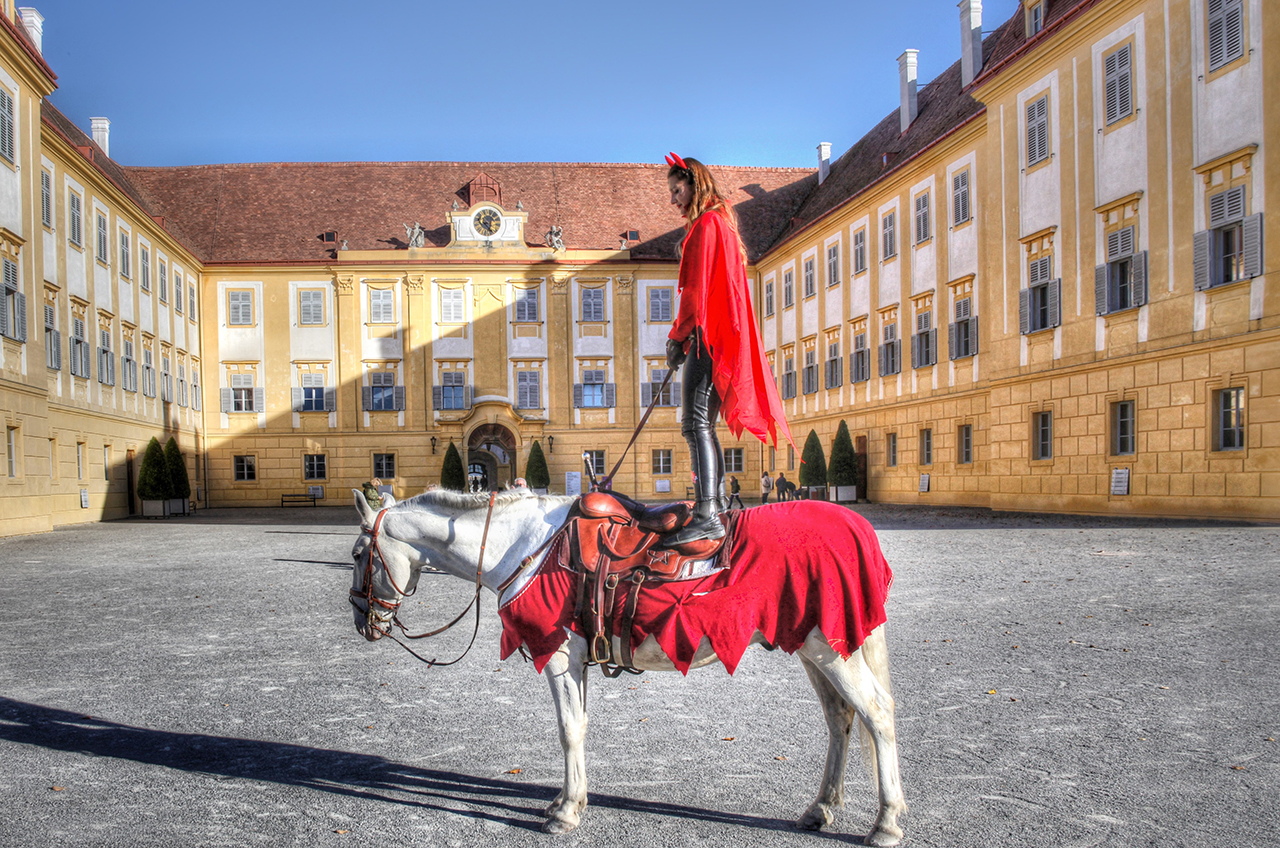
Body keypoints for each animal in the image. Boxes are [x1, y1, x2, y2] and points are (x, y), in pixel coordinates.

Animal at [350, 489, 906, 845]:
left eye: (359, 553)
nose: (362, 620)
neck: (524, 546)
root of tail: (855, 525)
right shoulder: (578, 659)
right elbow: (580, 726)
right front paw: (572, 799)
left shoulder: (559, 656)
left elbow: (569, 729)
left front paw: (565, 812)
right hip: (812, 648)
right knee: (840, 719)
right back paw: (821, 807)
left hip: (831, 649)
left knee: (877, 714)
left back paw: (886, 823)